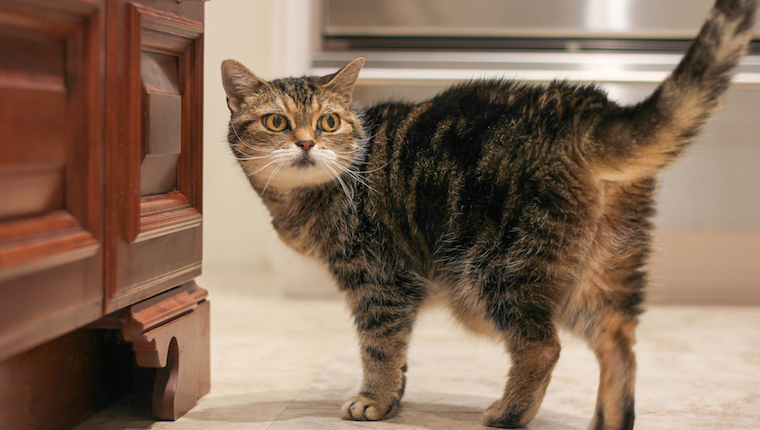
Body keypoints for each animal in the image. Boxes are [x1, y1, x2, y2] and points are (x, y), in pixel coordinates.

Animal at [221, 1, 760, 428]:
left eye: (329, 121)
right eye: (277, 121)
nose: (306, 143)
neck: (304, 200)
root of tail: (587, 106)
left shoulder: (380, 281)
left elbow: (380, 347)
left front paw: (374, 399)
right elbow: (399, 355)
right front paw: (395, 396)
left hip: (499, 269)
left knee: (543, 346)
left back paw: (509, 413)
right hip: (602, 270)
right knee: (620, 347)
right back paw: (605, 422)